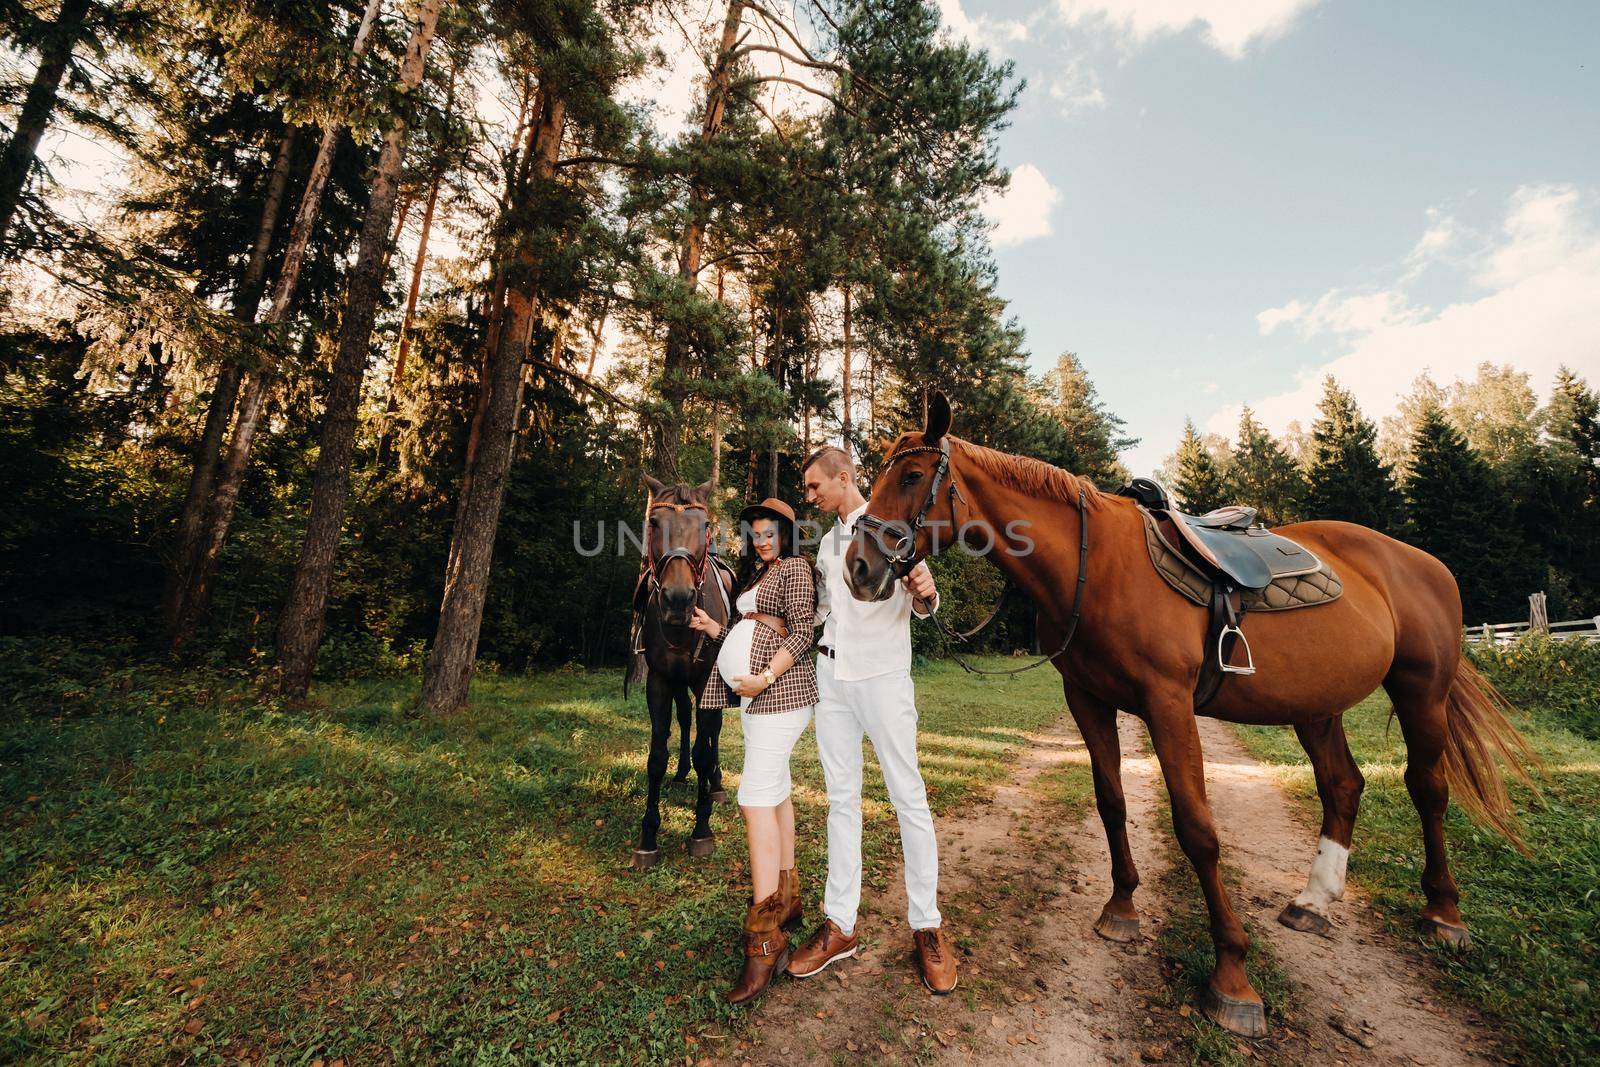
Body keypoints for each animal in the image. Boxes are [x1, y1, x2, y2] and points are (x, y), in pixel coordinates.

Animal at [633, 479, 732, 870]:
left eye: (704, 526)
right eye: (654, 523)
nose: (677, 599)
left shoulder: (707, 681)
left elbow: (706, 749)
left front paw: (701, 829)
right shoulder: (659, 680)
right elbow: (656, 755)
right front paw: (648, 835)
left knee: (713, 731)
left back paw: (715, 783)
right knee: (687, 717)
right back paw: (681, 773)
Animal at [844, 391, 1529, 1036]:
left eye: (911, 476)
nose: (858, 568)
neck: (1094, 566)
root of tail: (1423, 563)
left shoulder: (1168, 705)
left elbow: (1197, 829)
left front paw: (1233, 975)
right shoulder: (1088, 701)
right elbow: (1112, 802)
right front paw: (1122, 909)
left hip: (1421, 692)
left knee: (1427, 787)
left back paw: (1444, 913)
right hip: (1317, 706)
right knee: (1343, 785)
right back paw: (1314, 901)